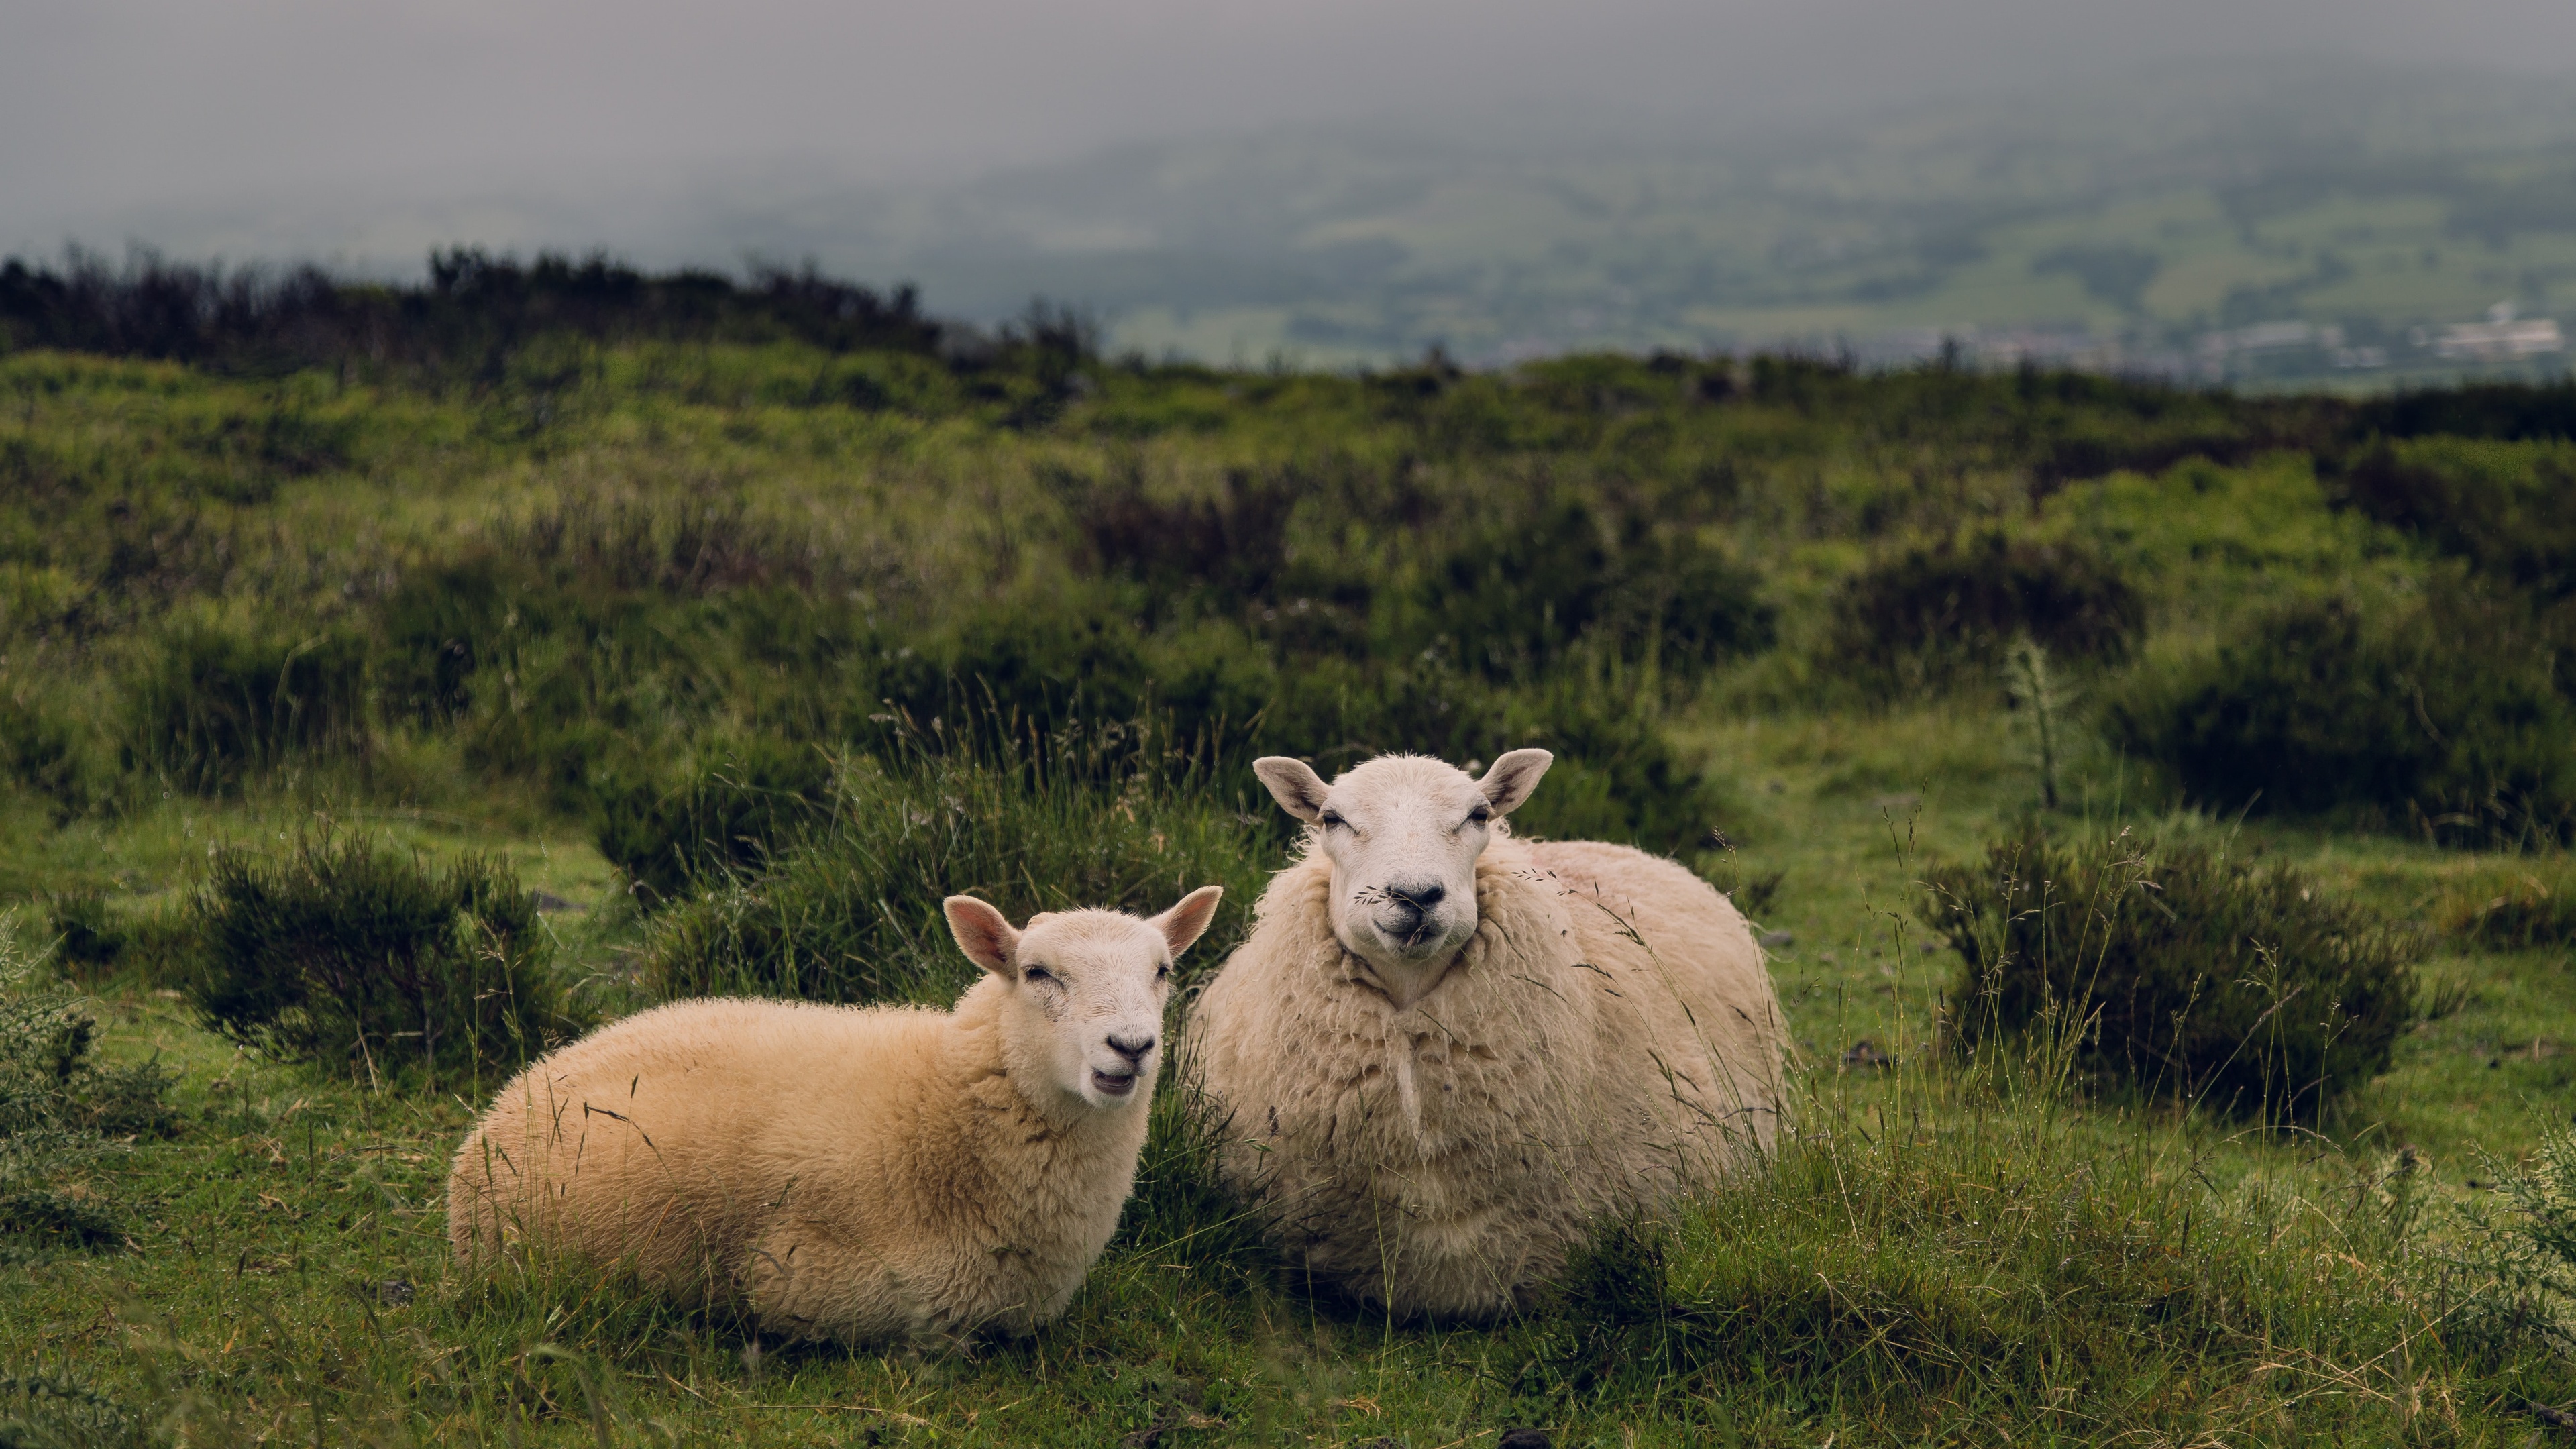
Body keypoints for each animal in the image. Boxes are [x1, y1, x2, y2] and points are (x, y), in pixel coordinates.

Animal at [448, 881, 1221, 1340]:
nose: (1132, 1046)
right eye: (1036, 973)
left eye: (1163, 972)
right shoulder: (819, 1286)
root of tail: (516, 1093)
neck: (944, 1108)